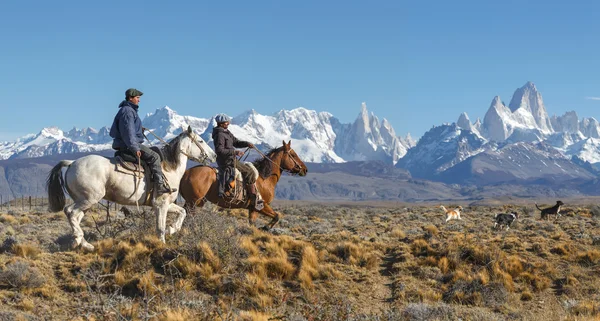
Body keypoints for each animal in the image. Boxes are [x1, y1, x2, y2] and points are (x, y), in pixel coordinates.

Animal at [47, 126, 217, 251]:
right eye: (201, 140)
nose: (214, 155)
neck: (169, 168)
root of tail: (71, 163)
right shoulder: (161, 204)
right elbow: (160, 228)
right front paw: (163, 243)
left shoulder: (165, 204)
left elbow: (182, 213)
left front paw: (172, 229)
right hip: (89, 199)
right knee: (70, 211)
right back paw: (78, 239)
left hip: (85, 202)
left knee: (75, 217)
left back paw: (85, 244)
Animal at [179, 139, 308, 228]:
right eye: (293, 154)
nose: (305, 169)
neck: (264, 177)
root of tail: (185, 173)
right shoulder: (261, 206)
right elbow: (277, 216)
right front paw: (266, 227)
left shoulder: (253, 210)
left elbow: (253, 223)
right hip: (193, 202)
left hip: (197, 202)